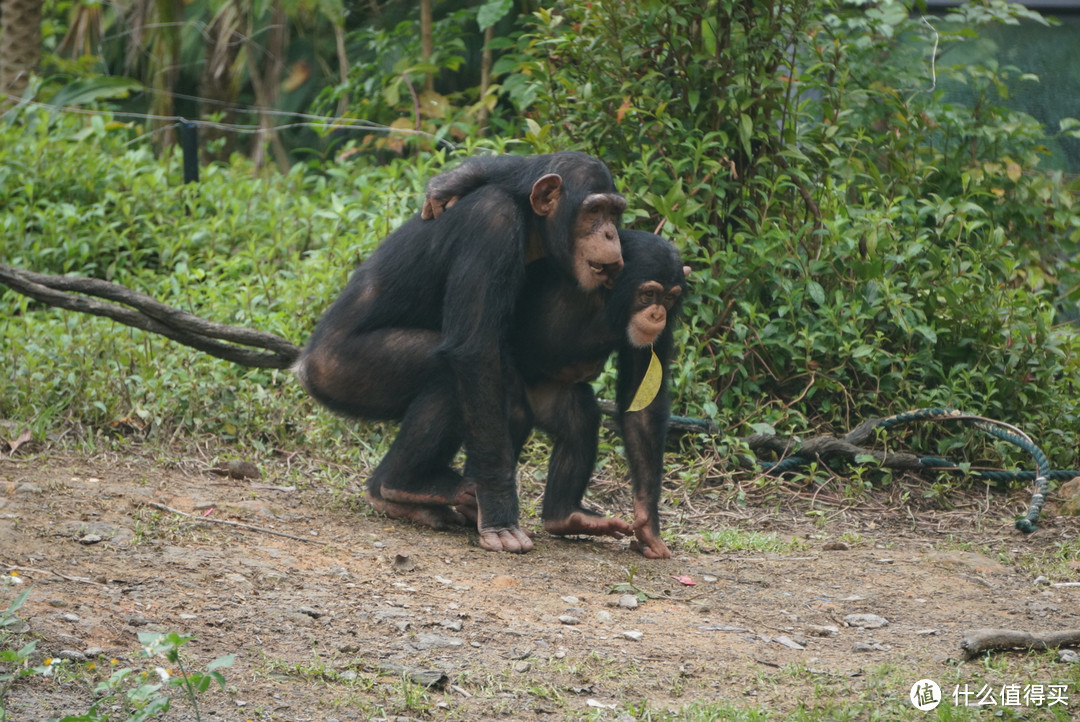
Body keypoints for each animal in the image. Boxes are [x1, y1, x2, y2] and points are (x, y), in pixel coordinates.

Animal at [300, 151, 630, 552]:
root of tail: (304, 365)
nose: (611, 234)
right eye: (594, 211)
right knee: (445, 372)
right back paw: (402, 485)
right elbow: (474, 352)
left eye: (614, 213)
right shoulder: (491, 226)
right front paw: (499, 508)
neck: (532, 228)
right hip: (341, 369)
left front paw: (453, 182)